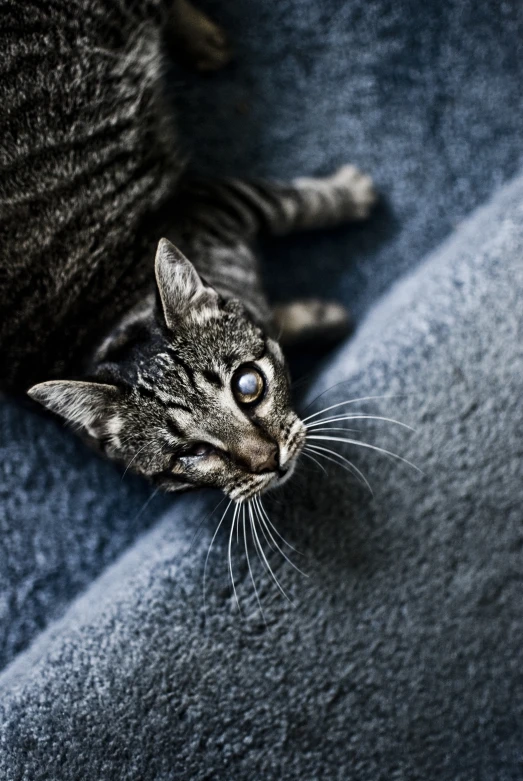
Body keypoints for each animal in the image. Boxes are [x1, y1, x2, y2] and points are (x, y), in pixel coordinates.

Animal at [1, 0, 376, 500]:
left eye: (249, 385)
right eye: (192, 453)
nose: (270, 462)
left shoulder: (216, 202)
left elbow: (295, 206)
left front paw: (350, 195)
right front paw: (319, 316)